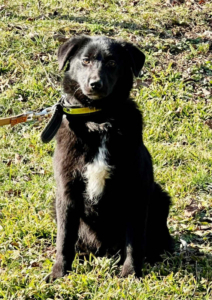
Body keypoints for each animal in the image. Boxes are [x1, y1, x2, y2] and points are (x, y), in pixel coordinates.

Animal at [47, 35, 173, 282]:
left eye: (113, 63)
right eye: (85, 60)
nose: (95, 84)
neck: (99, 119)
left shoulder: (136, 191)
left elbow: (134, 241)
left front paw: (131, 274)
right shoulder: (66, 191)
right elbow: (64, 239)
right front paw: (59, 273)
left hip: (159, 196)